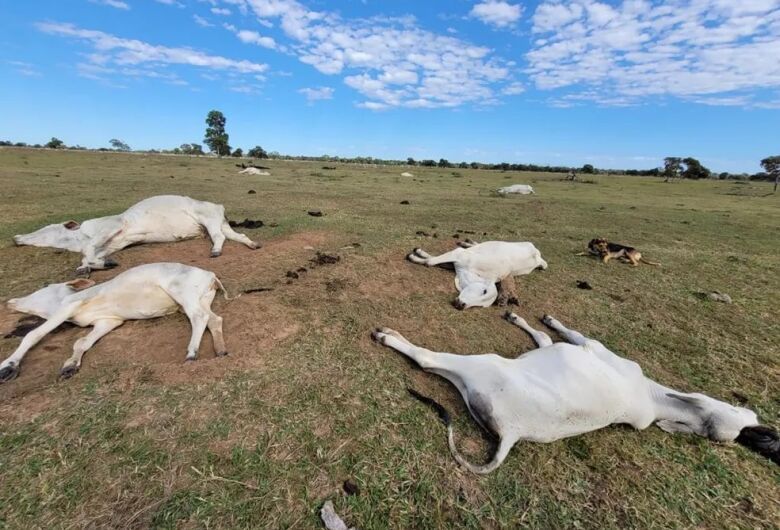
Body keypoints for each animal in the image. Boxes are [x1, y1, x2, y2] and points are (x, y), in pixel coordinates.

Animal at [0, 260, 232, 380]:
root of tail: (210, 274)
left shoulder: (69, 306)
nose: (10, 301)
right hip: (199, 299)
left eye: (45, 287)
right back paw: (220, 349)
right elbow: (81, 342)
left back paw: (192, 352)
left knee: (199, 317)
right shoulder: (108, 321)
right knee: (214, 319)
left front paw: (8, 366)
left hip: (182, 293)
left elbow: (33, 334)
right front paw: (70, 366)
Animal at [12, 196, 262, 274]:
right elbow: (91, 256)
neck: (81, 235)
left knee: (220, 238)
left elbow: (89, 250)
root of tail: (218, 206)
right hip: (220, 223)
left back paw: (216, 251)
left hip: (209, 221)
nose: (16, 238)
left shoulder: (113, 226)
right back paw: (253, 244)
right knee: (237, 235)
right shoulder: (113, 243)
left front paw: (95, 264)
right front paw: (93, 266)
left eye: (47, 229)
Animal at [374, 310, 780, 470]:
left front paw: (548, 319)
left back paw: (388, 335)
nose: (765, 432)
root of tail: (513, 433)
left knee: (427, 360)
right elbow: (542, 337)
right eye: (744, 416)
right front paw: (521, 317)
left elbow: (564, 333)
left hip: (481, 364)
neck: (653, 398)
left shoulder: (591, 346)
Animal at [408, 240, 548, 310]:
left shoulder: (455, 262)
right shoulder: (459, 254)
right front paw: (415, 255)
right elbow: (431, 261)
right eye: (484, 291)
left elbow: (432, 260)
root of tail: (538, 257)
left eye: (481, 306)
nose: (461, 305)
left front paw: (417, 255)